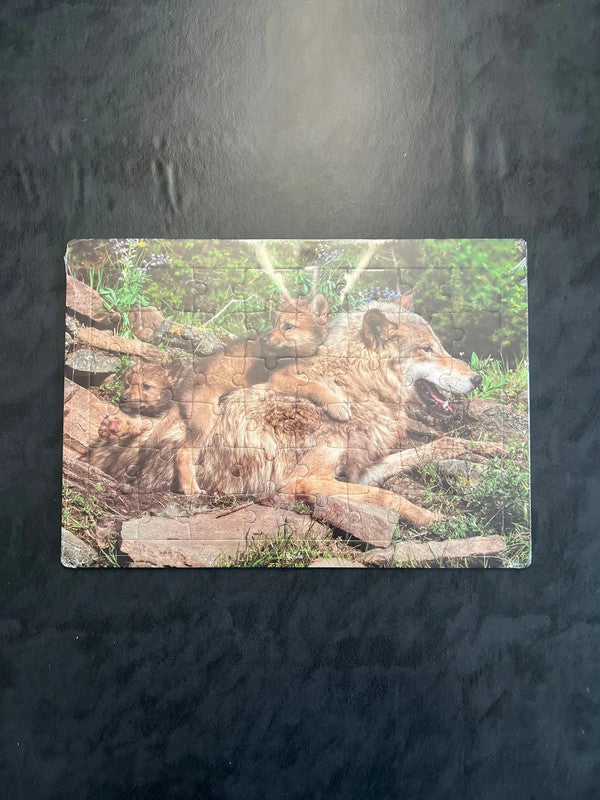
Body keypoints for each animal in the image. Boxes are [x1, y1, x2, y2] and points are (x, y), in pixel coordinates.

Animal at [196, 304, 498, 528]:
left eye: (440, 346)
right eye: (427, 349)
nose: (478, 378)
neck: (354, 389)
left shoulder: (360, 471)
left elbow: (439, 444)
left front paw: (488, 447)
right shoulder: (305, 480)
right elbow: (388, 496)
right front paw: (432, 518)